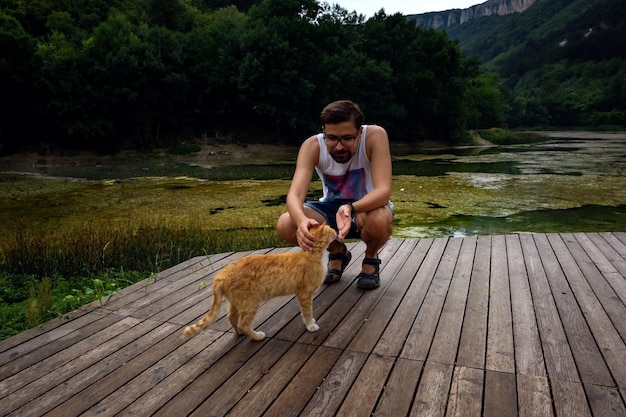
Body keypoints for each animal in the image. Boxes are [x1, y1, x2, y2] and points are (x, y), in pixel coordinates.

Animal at [182, 223, 336, 340]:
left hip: (238, 302)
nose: (336, 230)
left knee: (232, 317)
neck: (312, 254)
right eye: (330, 229)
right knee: (243, 324)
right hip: (250, 303)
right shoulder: (304, 294)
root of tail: (220, 275)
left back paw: (239, 333)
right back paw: (257, 336)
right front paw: (310, 325)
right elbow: (307, 312)